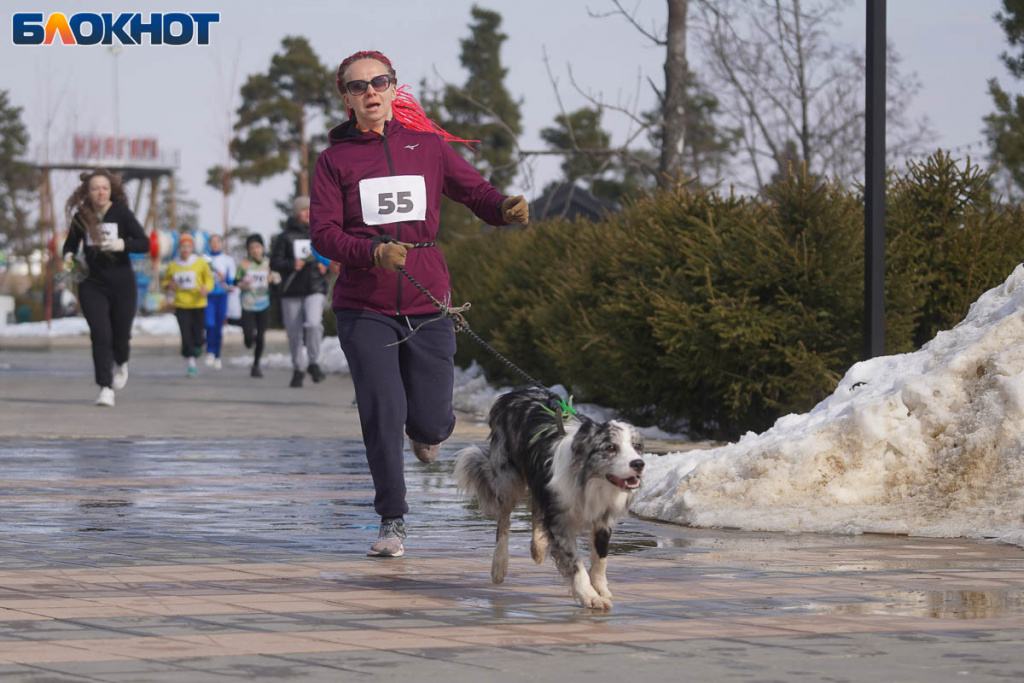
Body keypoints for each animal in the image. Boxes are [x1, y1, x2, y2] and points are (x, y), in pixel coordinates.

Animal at [454, 387, 638, 610]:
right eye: (611, 447)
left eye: (636, 446)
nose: (639, 464)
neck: (589, 480)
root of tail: (515, 392)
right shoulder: (560, 521)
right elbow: (575, 564)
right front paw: (589, 596)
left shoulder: (602, 517)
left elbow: (600, 558)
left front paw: (601, 589)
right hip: (507, 479)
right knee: (504, 520)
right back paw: (499, 566)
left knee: (535, 507)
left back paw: (538, 546)